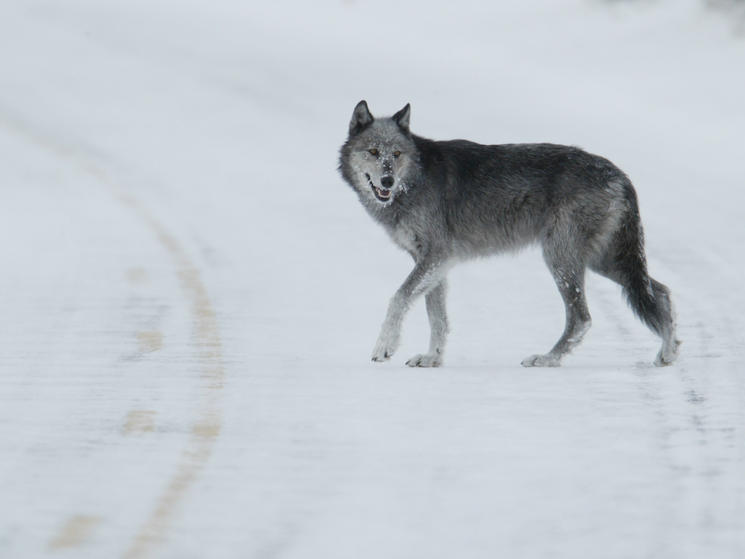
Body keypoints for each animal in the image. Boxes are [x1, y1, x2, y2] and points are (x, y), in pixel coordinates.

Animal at [338, 100, 680, 367]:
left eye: (396, 154)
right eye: (373, 151)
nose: (387, 181)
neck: (415, 180)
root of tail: (619, 174)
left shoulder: (436, 255)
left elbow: (398, 298)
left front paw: (385, 347)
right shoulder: (434, 262)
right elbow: (437, 316)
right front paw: (432, 358)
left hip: (562, 259)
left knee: (582, 318)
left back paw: (546, 359)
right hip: (603, 262)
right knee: (661, 291)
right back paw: (668, 354)